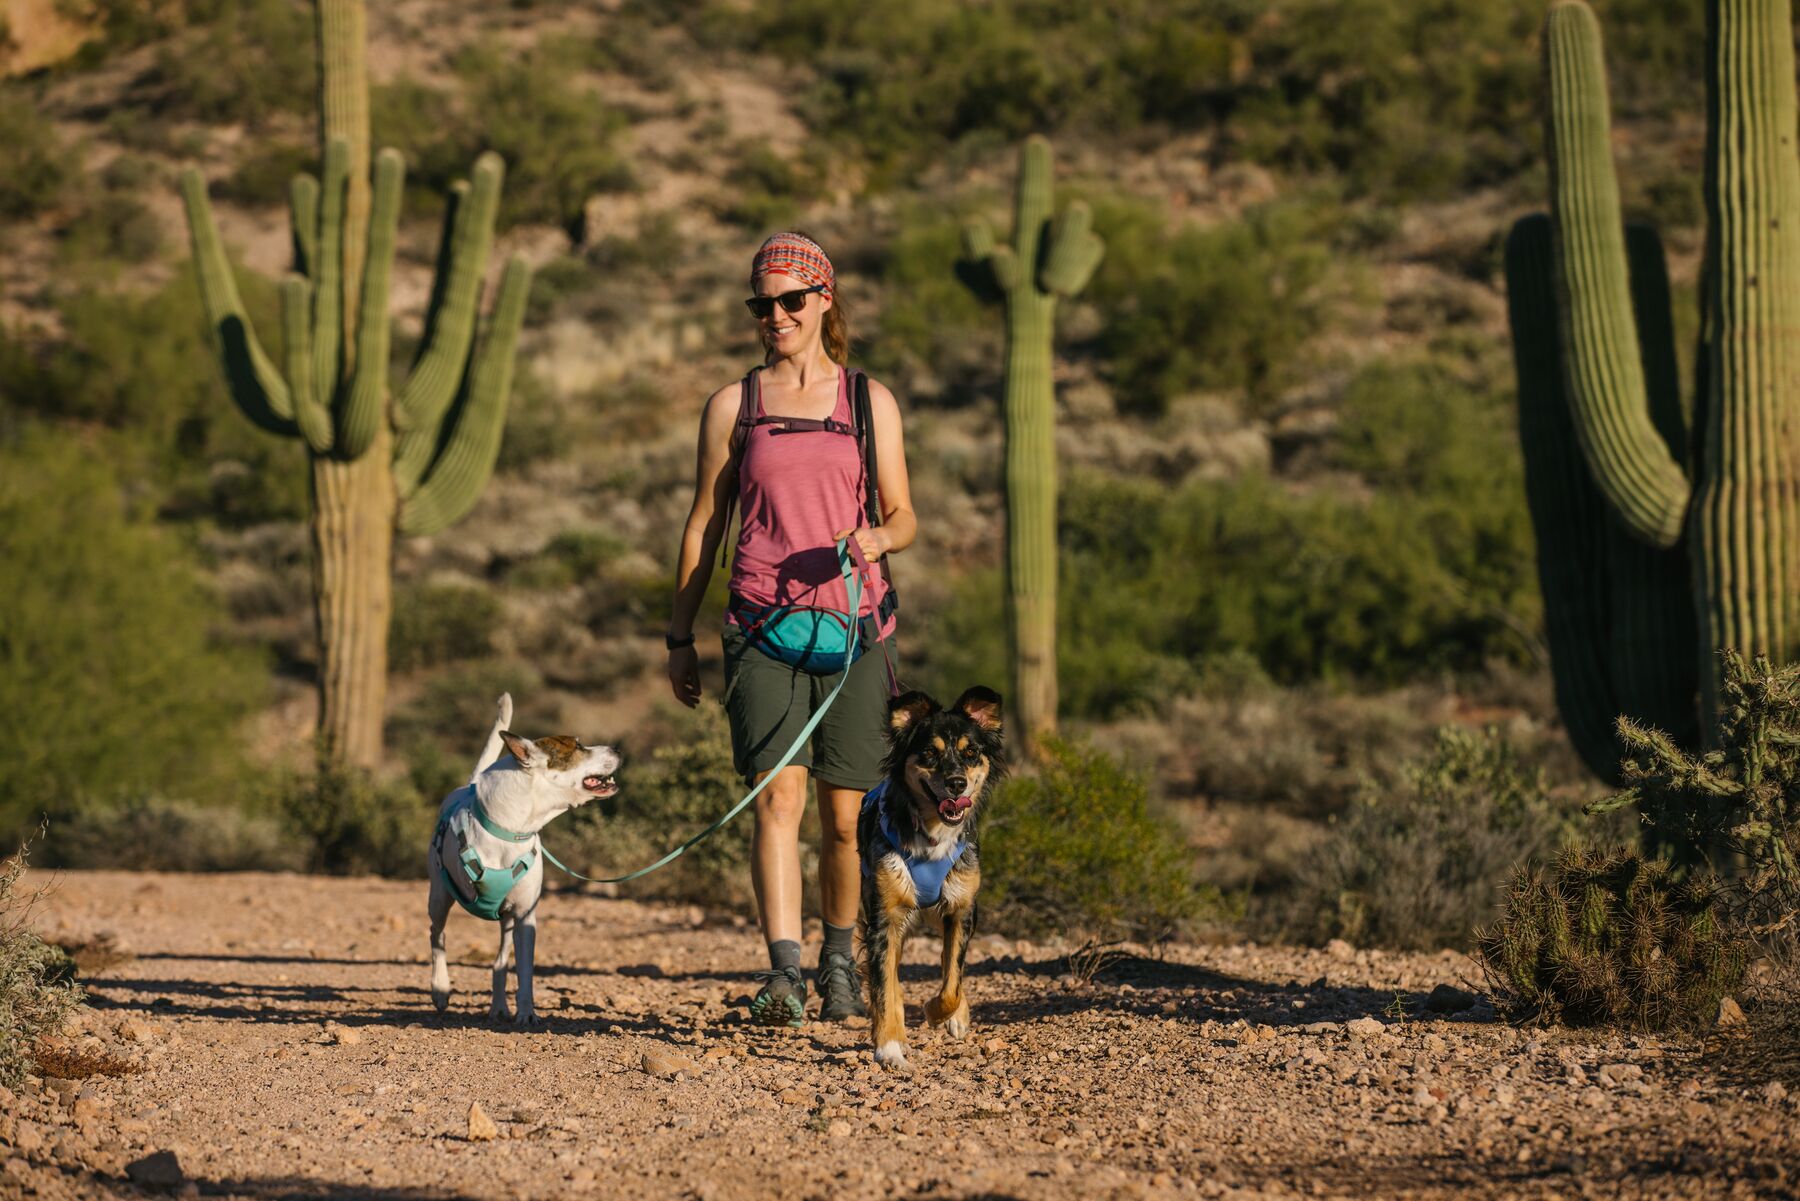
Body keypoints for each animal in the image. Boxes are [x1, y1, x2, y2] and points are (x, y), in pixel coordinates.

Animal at [426, 695, 619, 1022]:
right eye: (577, 745)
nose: (617, 748)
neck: (511, 830)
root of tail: (467, 785)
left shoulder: (525, 915)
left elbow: (525, 971)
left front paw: (527, 1013)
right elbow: (440, 943)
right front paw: (441, 988)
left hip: (506, 917)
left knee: (500, 961)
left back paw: (499, 1006)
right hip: (439, 897)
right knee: (436, 935)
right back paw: (440, 989)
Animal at [853, 684, 1000, 1073]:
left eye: (971, 752)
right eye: (930, 753)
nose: (956, 783)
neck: (933, 834)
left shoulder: (962, 910)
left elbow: (952, 981)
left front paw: (942, 1012)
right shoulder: (883, 918)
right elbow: (884, 986)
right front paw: (889, 1046)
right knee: (890, 977)